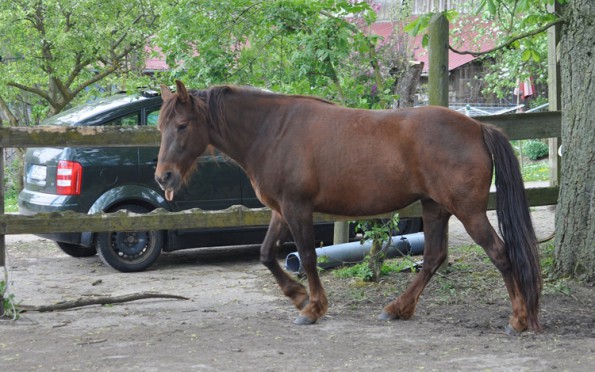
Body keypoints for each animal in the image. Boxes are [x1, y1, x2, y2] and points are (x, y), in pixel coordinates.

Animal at [156, 80, 544, 332]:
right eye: (161, 127)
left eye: (182, 125)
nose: (164, 177)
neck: (272, 131)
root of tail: (477, 127)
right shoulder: (281, 210)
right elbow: (266, 254)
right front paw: (298, 296)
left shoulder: (297, 208)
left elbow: (308, 257)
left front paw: (312, 308)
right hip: (434, 207)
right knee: (434, 257)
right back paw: (397, 308)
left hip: (468, 211)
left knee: (500, 253)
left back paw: (519, 319)